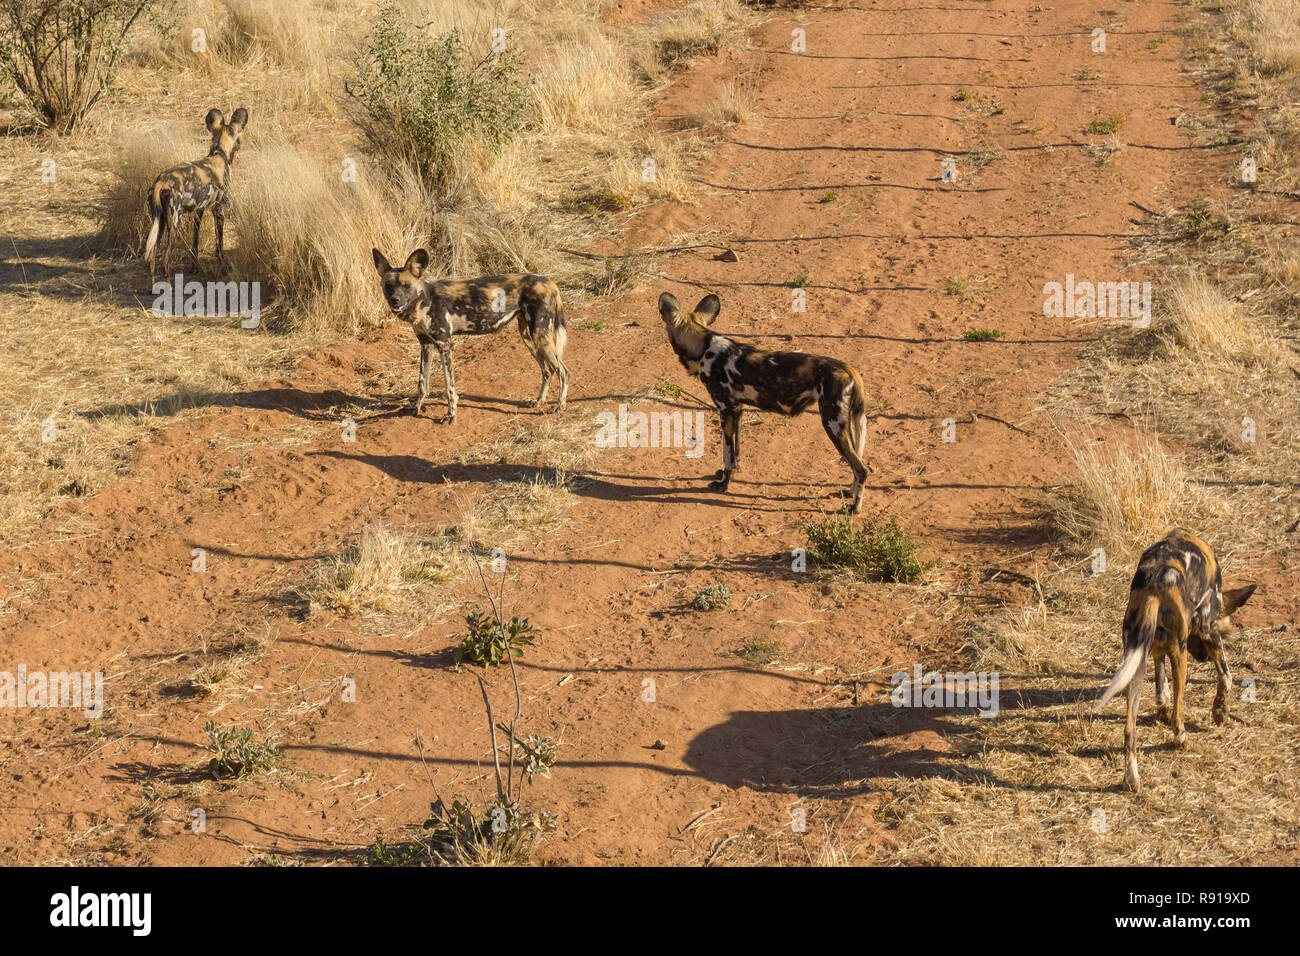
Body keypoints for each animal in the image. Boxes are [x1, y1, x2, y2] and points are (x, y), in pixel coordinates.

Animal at [146, 109, 249, 280]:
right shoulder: (218, 210)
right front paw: (223, 268)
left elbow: (195, 243)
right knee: (164, 262)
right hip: (174, 223)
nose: (241, 143)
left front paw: (195, 268)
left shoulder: (198, 210)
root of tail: (161, 182)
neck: (219, 153)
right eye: (239, 138)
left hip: (159, 222)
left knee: (151, 259)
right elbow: (219, 245)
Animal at [369, 248, 566, 424]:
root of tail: (550, 282)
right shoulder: (426, 345)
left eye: (406, 286)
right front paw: (415, 407)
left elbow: (450, 388)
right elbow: (422, 383)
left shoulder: (445, 345)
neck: (424, 301)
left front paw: (451, 415)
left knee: (563, 371)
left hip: (540, 335)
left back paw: (559, 405)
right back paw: (539, 401)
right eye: (388, 286)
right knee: (547, 370)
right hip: (529, 337)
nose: (395, 300)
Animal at [655, 291, 868, 512]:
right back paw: (850, 492)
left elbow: (727, 454)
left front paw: (723, 484)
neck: (703, 347)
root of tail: (848, 369)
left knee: (862, 469)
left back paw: (854, 507)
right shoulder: (737, 409)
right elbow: (736, 451)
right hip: (843, 425)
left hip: (832, 425)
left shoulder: (726, 410)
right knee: (858, 461)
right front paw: (731, 472)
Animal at [1092, 530, 1253, 790]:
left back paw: (1132, 780)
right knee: (1178, 716)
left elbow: (1161, 690)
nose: (1203, 657)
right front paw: (1220, 711)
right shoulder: (1208, 630)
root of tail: (1154, 587)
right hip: (1181, 654)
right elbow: (1226, 676)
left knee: (1129, 730)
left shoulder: (1155, 651)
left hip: (1135, 663)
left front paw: (1162, 712)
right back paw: (1182, 740)